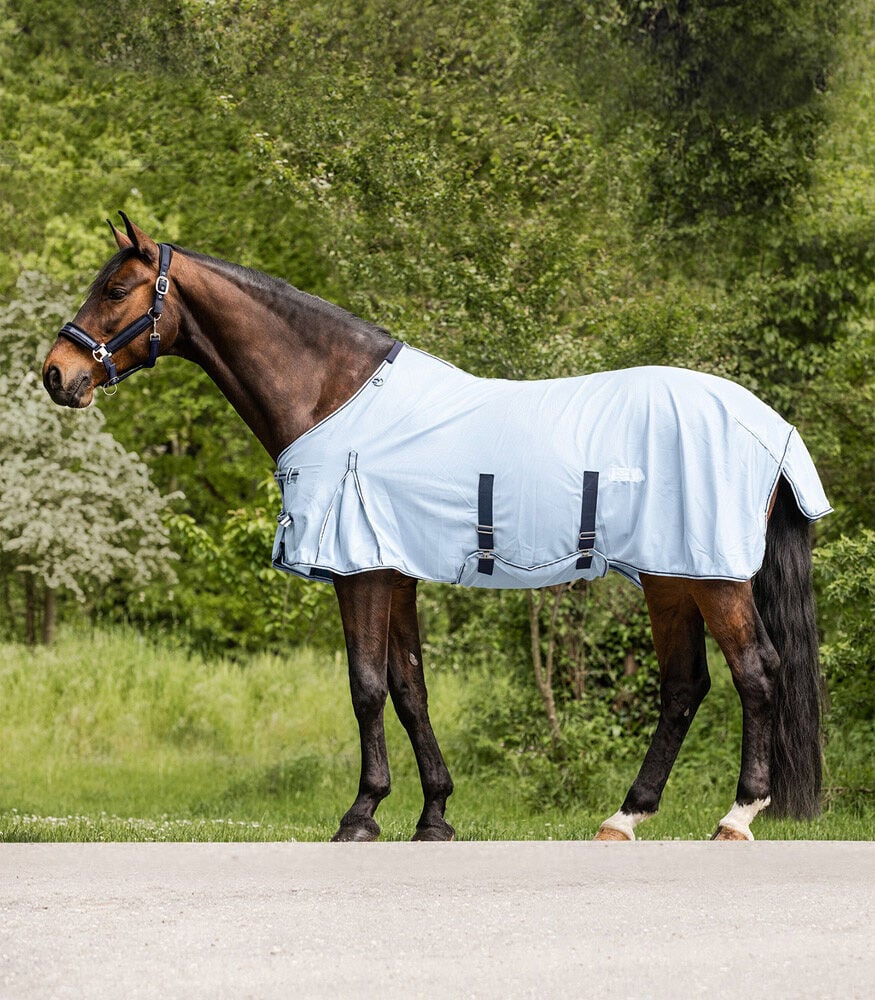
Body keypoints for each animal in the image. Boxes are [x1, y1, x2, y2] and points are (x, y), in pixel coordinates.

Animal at [42, 214, 830, 842]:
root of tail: (772, 427)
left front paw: (361, 814)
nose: (56, 373)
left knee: (756, 672)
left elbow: (365, 685)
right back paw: (625, 817)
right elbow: (409, 687)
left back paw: (736, 817)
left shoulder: (360, 571)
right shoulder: (395, 573)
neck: (334, 395)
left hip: (713, 576)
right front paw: (435, 815)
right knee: (684, 686)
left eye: (116, 290)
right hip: (669, 576)